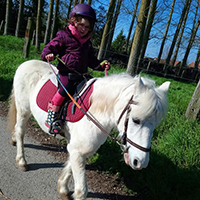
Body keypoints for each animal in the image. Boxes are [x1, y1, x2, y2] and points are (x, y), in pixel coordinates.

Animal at [8, 59, 170, 200]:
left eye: (155, 125)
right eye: (136, 120)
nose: (140, 162)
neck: (95, 110)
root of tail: (26, 63)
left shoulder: (80, 149)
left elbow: (70, 167)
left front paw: (63, 189)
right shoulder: (78, 150)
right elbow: (82, 191)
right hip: (24, 110)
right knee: (20, 131)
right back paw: (21, 161)